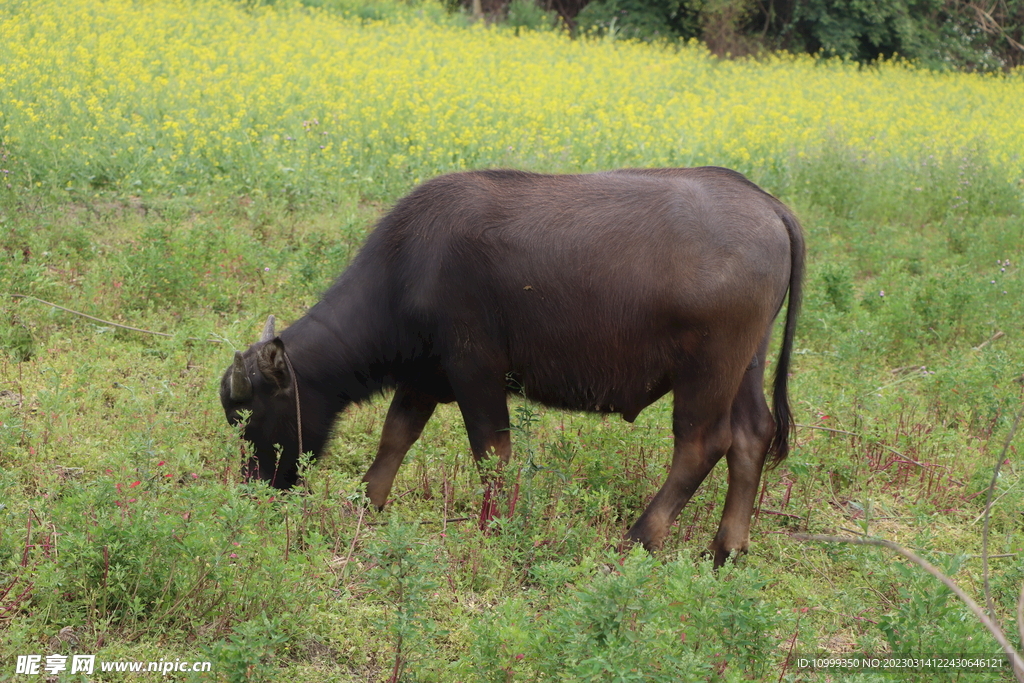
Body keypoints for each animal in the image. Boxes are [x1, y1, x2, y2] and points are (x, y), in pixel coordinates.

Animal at [220, 166, 802, 565]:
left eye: (250, 413)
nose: (255, 486)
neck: (410, 267)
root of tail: (769, 206)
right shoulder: (425, 377)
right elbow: (395, 437)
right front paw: (364, 503)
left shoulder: (475, 372)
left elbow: (491, 455)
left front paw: (492, 528)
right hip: (747, 364)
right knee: (752, 435)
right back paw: (726, 550)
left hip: (708, 371)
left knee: (701, 445)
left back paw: (637, 538)